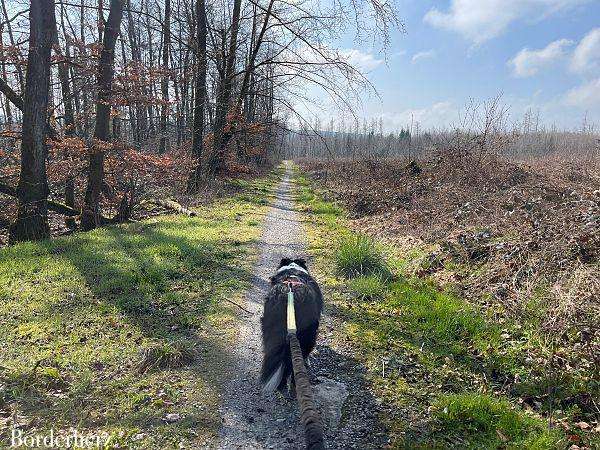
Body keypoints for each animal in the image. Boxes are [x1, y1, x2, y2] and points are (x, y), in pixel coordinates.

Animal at [258, 256, 322, 394]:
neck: (292, 269)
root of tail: (288, 294)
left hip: (269, 331)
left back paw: (281, 385)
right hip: (307, 334)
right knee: (295, 363)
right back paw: (294, 384)